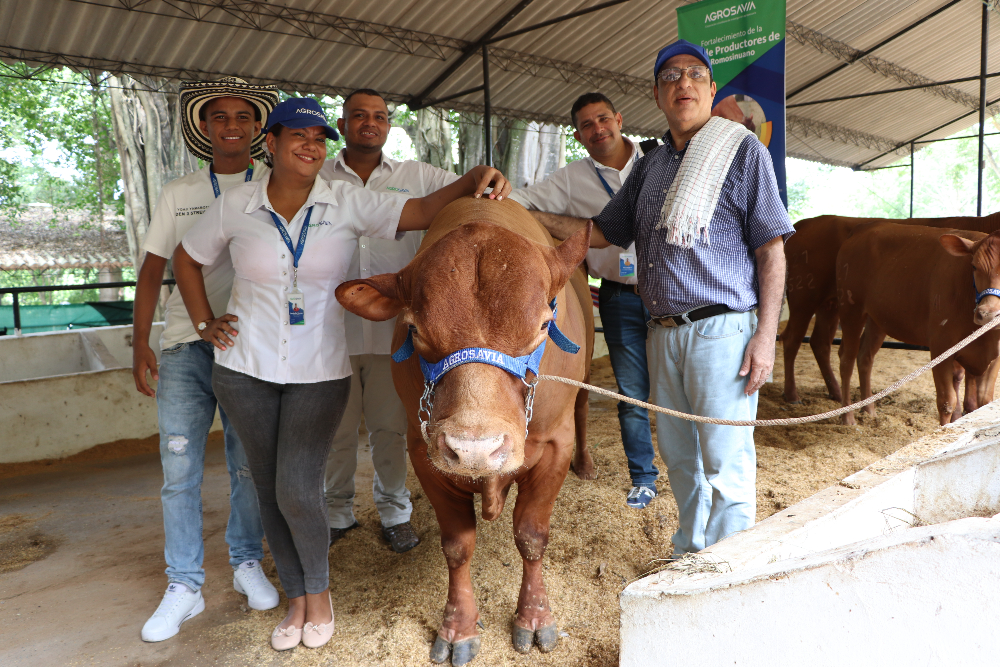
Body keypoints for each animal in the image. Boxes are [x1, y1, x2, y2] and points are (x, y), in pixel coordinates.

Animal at [336, 198, 592, 667]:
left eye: (543, 326)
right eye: (414, 330)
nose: (475, 449)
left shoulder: (554, 444)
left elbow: (531, 536)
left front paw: (534, 616)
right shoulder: (424, 452)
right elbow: (457, 545)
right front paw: (458, 627)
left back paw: (586, 465)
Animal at [780, 211, 1000, 404]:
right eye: (974, 266)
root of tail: (806, 223)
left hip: (832, 305)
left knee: (822, 343)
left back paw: (838, 394)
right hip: (805, 298)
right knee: (792, 340)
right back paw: (792, 395)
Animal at [832, 222, 1000, 426]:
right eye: (974, 266)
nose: (988, 314)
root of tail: (865, 227)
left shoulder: (994, 356)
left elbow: (986, 401)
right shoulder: (941, 347)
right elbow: (946, 401)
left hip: (877, 318)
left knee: (865, 356)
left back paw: (869, 410)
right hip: (850, 307)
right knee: (846, 359)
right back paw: (847, 417)